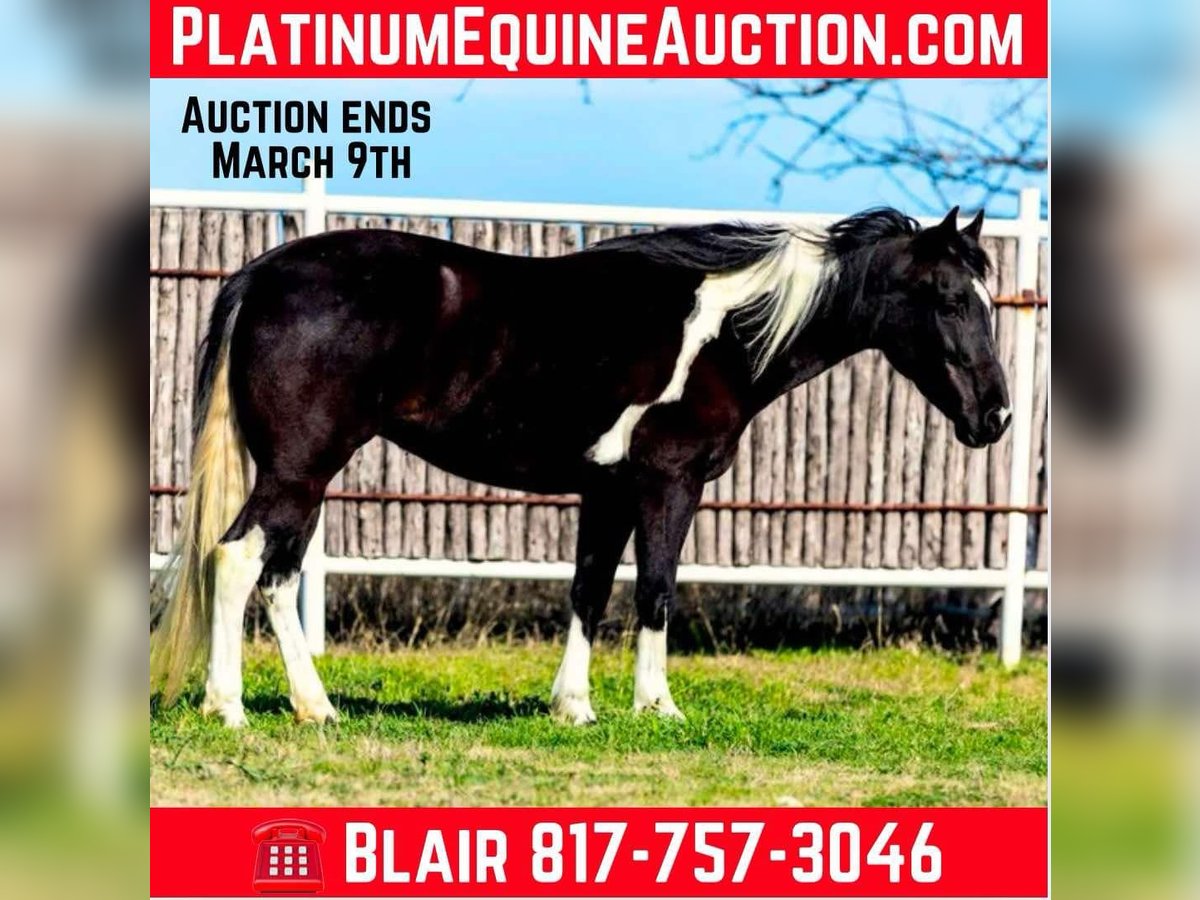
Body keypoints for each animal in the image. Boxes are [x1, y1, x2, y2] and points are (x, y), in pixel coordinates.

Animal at [150, 205, 1010, 727]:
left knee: (276, 574)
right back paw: (233, 707)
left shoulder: (608, 490)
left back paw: (313, 708)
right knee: (239, 560)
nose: (995, 416)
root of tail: (264, 273)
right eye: (946, 297)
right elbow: (657, 590)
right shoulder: (668, 483)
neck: (727, 330)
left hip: (305, 474)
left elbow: (589, 591)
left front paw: (574, 705)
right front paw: (657, 705)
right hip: (300, 467)